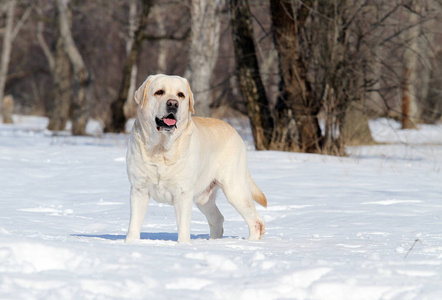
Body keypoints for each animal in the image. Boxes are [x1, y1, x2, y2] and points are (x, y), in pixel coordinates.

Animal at [124, 74, 266, 243]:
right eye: (159, 92)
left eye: (181, 95)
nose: (173, 103)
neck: (161, 149)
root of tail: (235, 131)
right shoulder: (139, 190)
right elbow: (134, 224)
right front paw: (131, 243)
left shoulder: (183, 193)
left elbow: (183, 226)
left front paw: (183, 244)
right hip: (202, 197)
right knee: (217, 219)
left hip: (235, 189)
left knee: (256, 221)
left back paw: (251, 243)